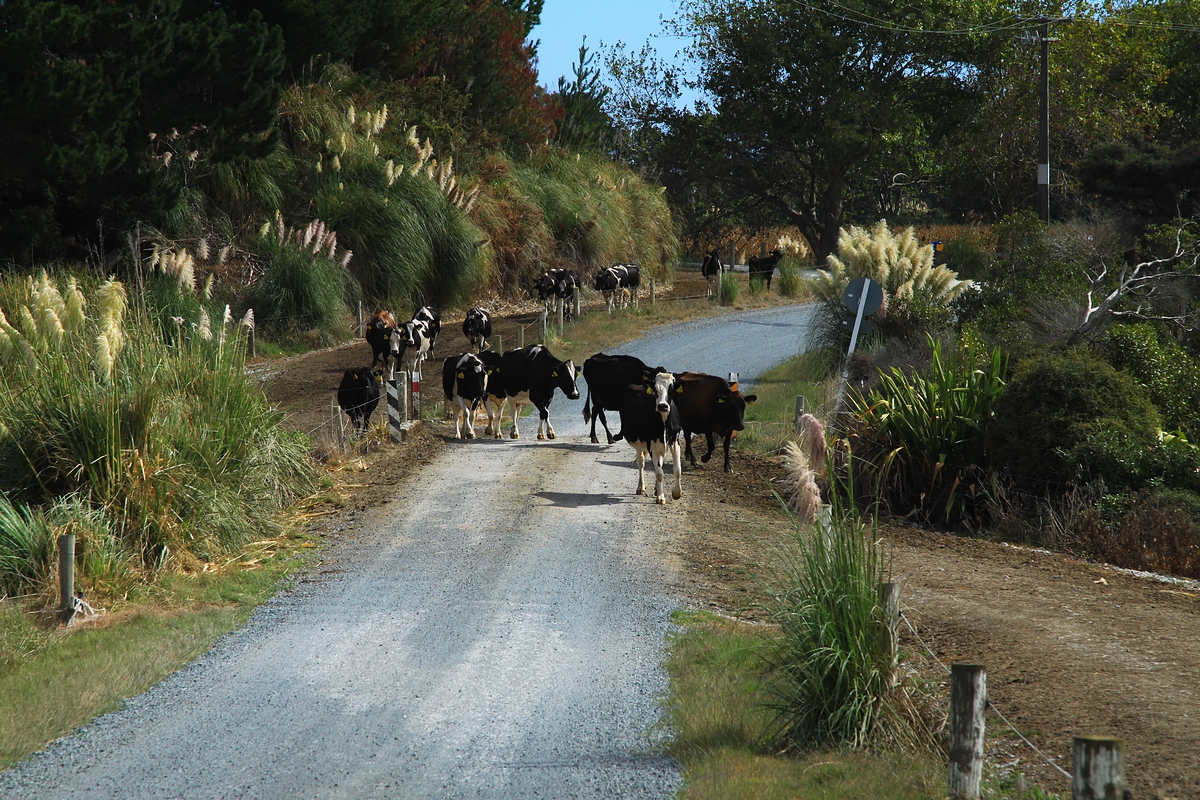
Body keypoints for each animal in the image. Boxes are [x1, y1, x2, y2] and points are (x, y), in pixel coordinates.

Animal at [614, 371, 681, 503]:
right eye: (655, 389)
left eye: (671, 389)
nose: (662, 406)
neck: (664, 423)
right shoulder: (652, 445)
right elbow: (659, 473)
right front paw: (661, 497)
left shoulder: (675, 442)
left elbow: (677, 471)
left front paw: (676, 493)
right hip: (639, 445)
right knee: (641, 463)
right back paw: (641, 488)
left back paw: (655, 489)